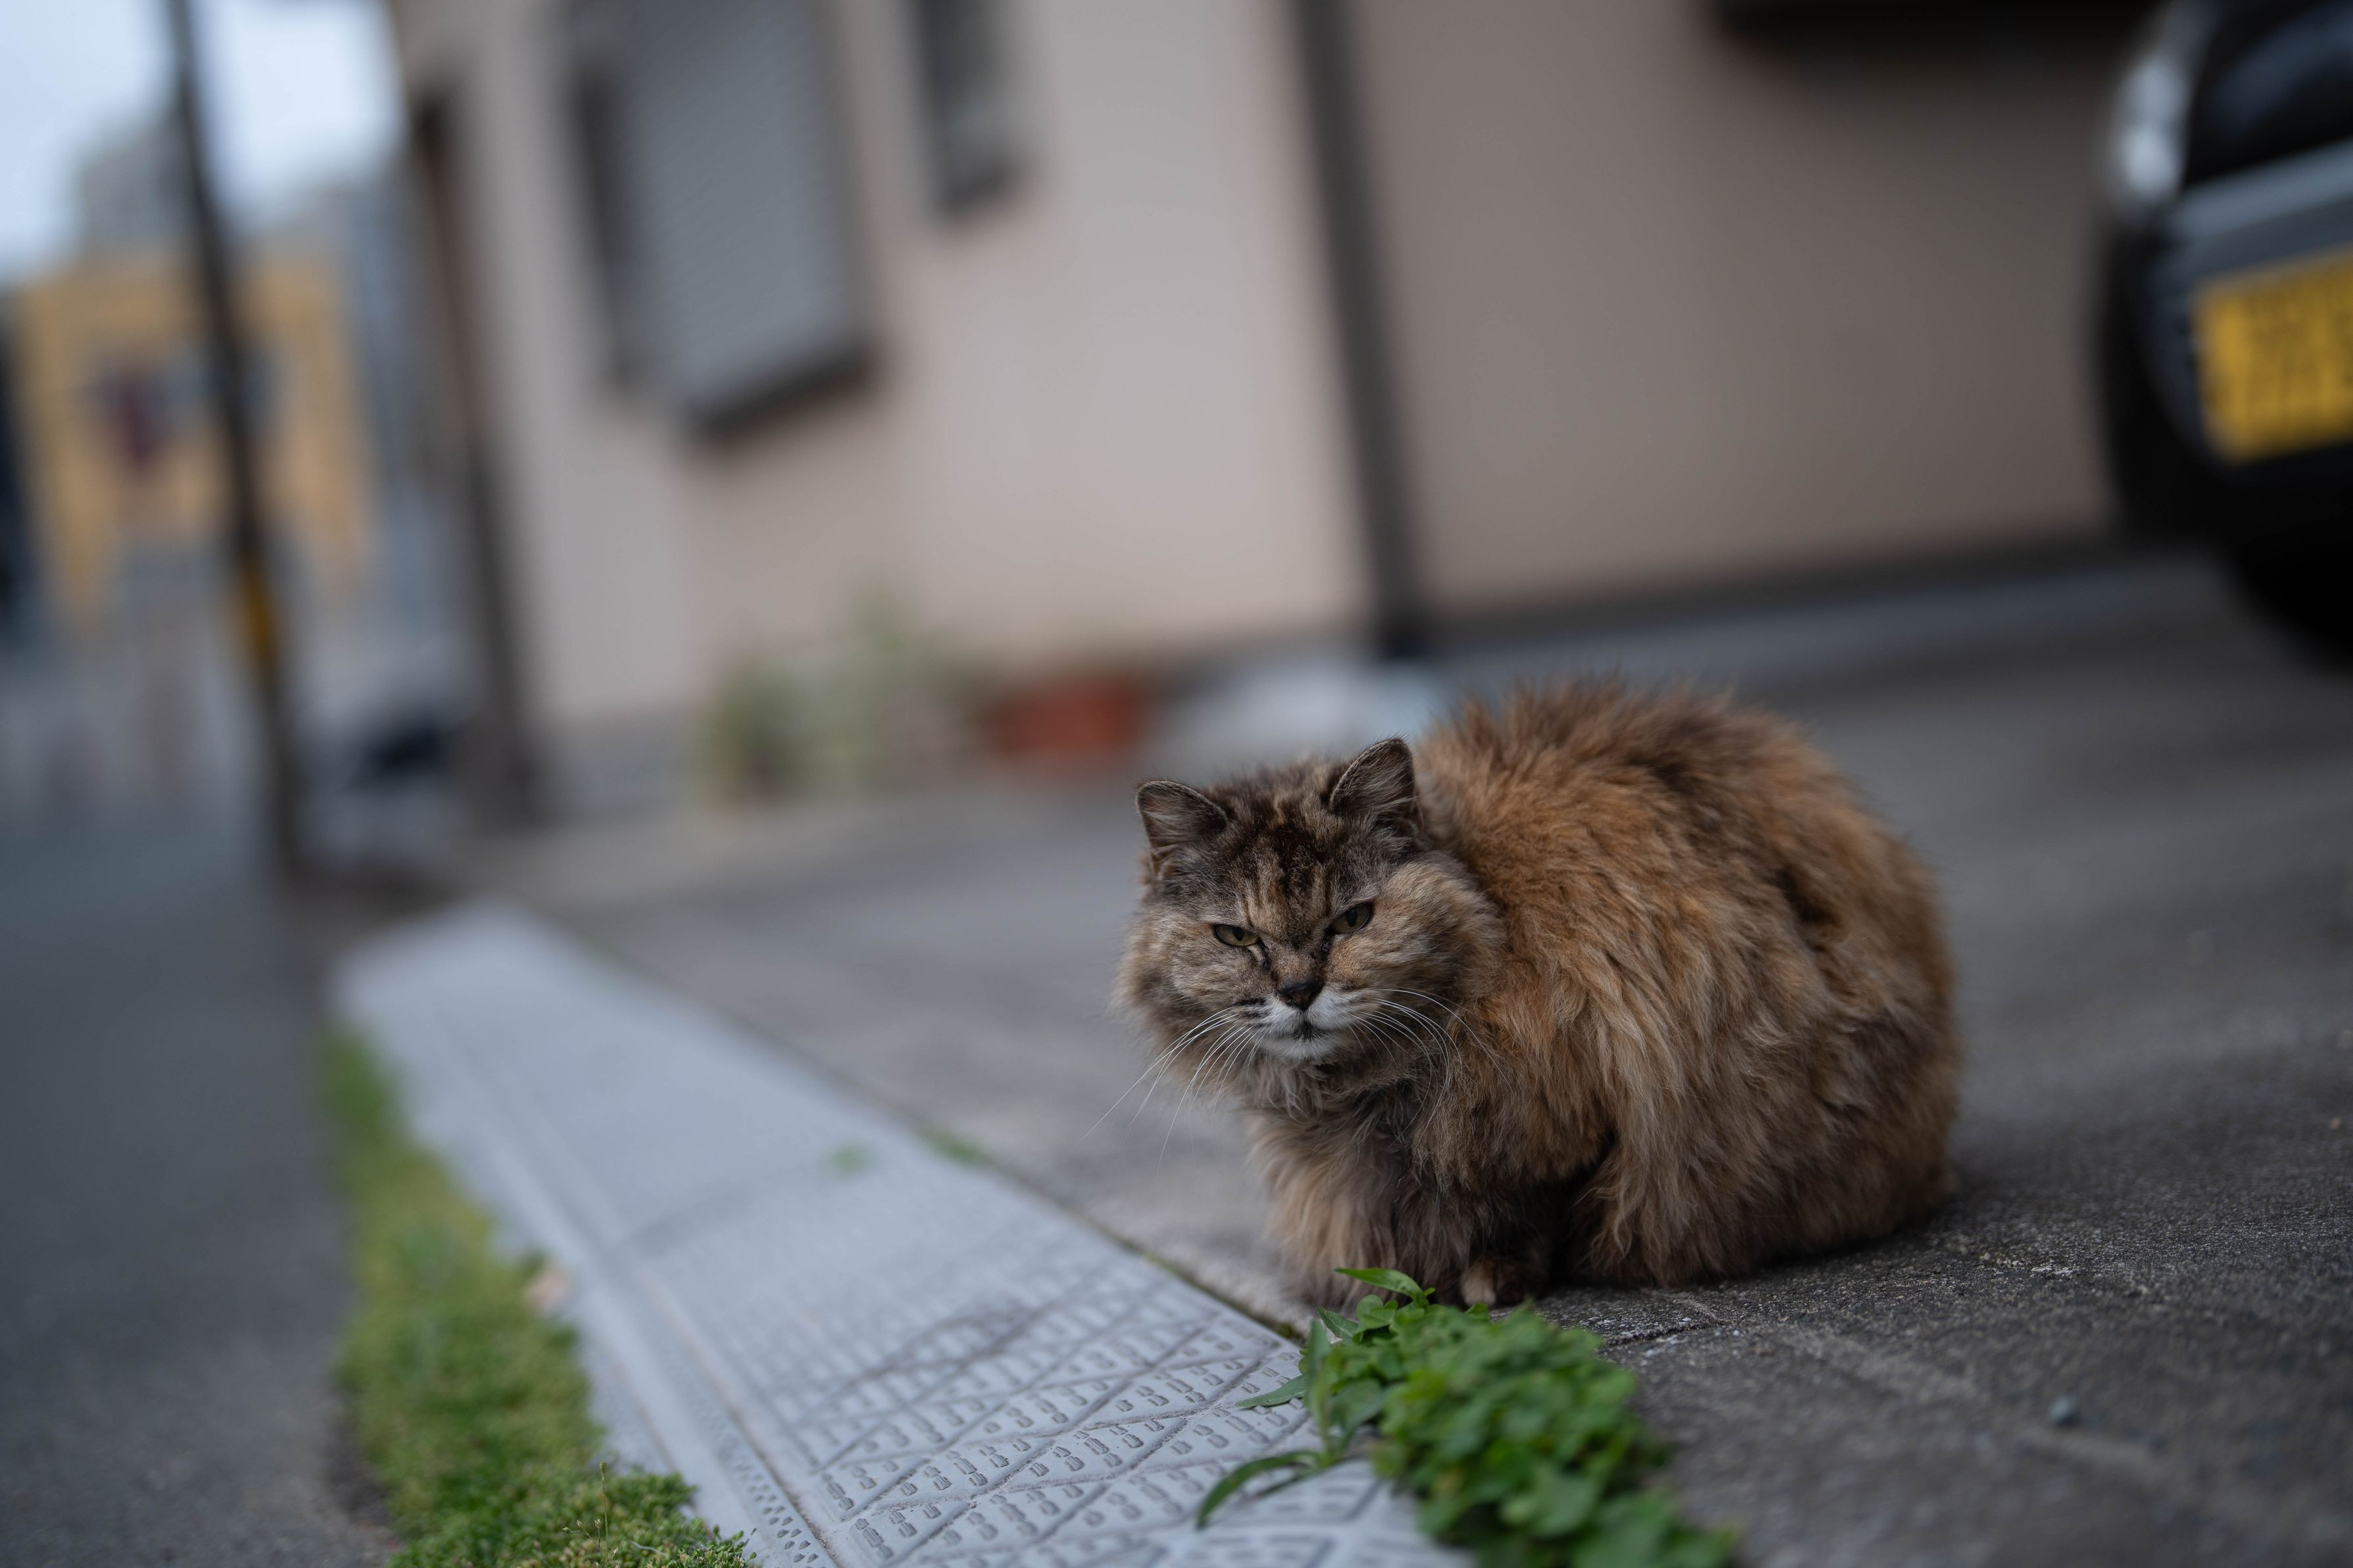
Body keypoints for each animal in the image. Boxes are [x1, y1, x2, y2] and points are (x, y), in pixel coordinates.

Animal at [1116, 682, 1959, 1307]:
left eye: (1353, 920)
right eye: (1236, 938)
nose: (1297, 990)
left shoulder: (1596, 1094)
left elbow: (1528, 1213)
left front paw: (1489, 1282)